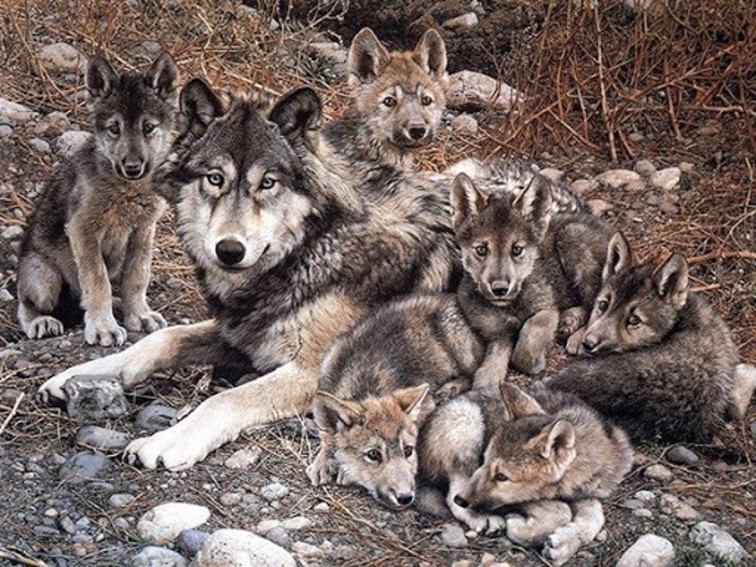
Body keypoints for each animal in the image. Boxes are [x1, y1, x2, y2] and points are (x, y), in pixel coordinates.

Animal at [17, 53, 179, 346]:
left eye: (148, 127)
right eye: (114, 128)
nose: (132, 168)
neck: (126, 191)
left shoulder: (143, 231)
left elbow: (138, 277)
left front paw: (139, 315)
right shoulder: (82, 230)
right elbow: (97, 281)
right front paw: (104, 327)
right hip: (43, 279)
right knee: (26, 305)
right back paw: (42, 321)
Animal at [37, 79, 459, 471]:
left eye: (267, 183)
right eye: (215, 179)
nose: (229, 250)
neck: (312, 247)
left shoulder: (313, 373)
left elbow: (224, 398)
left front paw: (167, 441)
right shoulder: (242, 331)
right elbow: (160, 340)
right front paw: (79, 375)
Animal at [419, 382, 633, 565]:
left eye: (501, 476)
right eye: (484, 460)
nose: (461, 500)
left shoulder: (586, 493)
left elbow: (595, 517)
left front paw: (565, 544)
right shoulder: (521, 498)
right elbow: (562, 511)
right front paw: (522, 529)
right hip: (466, 422)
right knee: (450, 496)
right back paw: (481, 517)